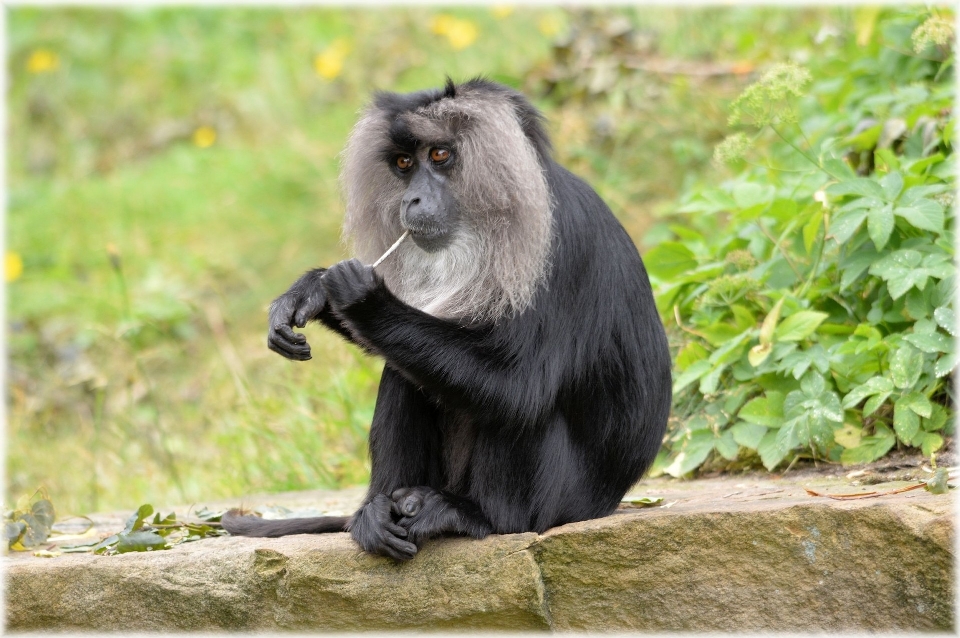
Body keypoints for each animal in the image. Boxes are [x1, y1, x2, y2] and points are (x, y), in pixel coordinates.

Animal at [223, 77, 676, 564]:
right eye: (404, 163)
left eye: (439, 155)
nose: (413, 198)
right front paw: (312, 290)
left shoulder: (556, 248)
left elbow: (520, 386)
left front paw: (362, 297)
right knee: (404, 367)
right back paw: (379, 512)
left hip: (565, 503)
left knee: (526, 404)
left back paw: (479, 516)